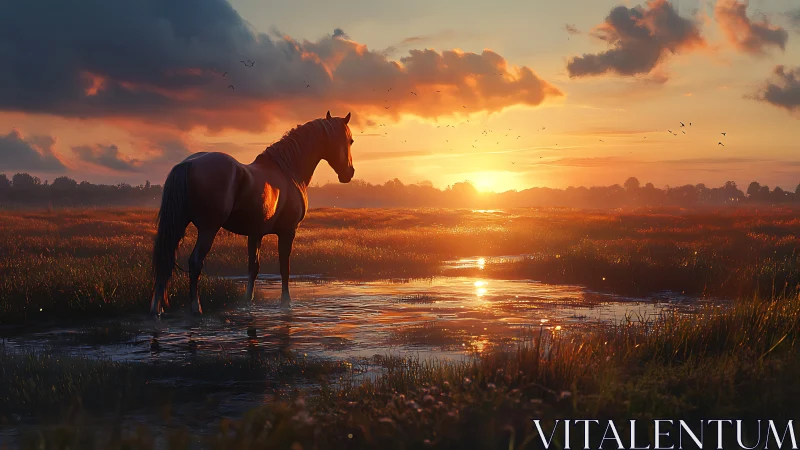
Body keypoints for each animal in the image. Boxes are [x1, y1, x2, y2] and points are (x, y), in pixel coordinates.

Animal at [149, 111, 355, 317]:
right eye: (350, 140)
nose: (349, 173)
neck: (288, 171)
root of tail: (189, 164)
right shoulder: (288, 232)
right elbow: (284, 268)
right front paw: (286, 303)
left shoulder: (255, 233)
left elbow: (253, 269)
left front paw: (248, 302)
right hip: (208, 229)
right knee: (195, 261)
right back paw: (195, 308)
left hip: (179, 225)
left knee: (166, 260)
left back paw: (157, 308)